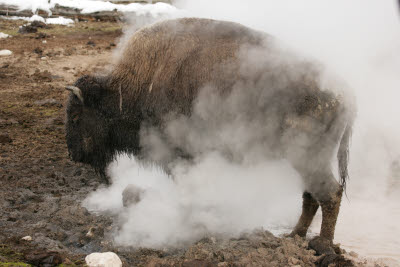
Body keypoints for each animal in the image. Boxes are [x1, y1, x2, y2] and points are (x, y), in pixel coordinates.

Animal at [65, 17, 356, 256]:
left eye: (76, 117)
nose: (73, 154)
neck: (127, 90)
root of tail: (344, 94)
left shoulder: (180, 156)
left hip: (309, 157)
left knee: (330, 193)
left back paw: (322, 245)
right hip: (305, 159)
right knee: (311, 195)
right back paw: (294, 235)